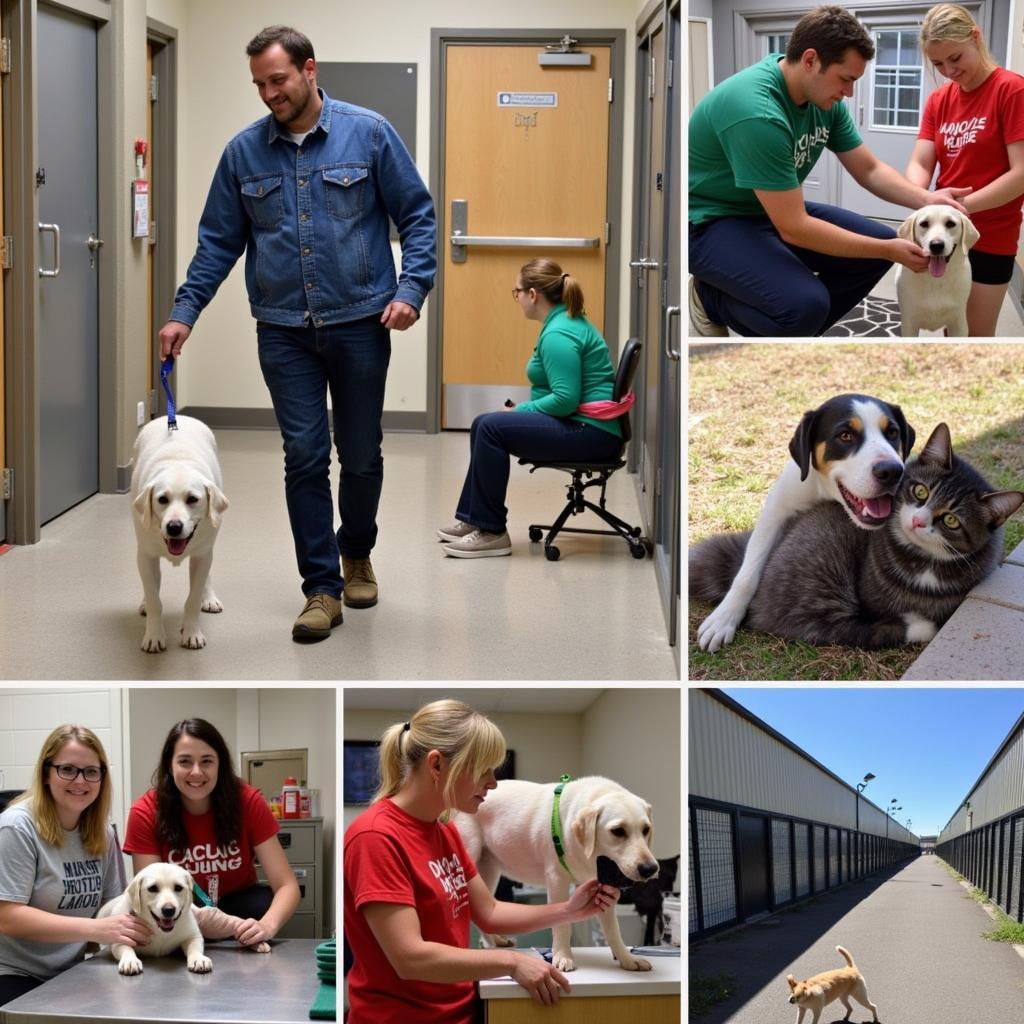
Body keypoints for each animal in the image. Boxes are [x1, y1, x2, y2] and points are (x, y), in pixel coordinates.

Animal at [131, 413, 229, 647]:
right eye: (162, 499)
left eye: (192, 499)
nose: (174, 527)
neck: (178, 463)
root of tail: (177, 415)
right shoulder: (146, 555)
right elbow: (154, 597)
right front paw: (154, 634)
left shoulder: (202, 555)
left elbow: (192, 599)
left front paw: (192, 632)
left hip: (207, 548)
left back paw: (209, 598)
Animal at [452, 778, 659, 970]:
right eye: (618, 831)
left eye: (646, 829)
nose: (651, 869)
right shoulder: (557, 880)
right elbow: (562, 924)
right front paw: (563, 956)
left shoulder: (601, 884)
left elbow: (613, 930)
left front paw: (627, 959)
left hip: (489, 870)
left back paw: (494, 942)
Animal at [688, 423, 1024, 647]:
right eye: (920, 491)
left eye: (952, 520)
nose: (918, 521)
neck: (925, 563)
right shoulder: (869, 600)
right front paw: (921, 624)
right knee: (827, 625)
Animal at [692, 391, 917, 647]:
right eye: (845, 435)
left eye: (892, 433)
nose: (892, 471)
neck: (824, 492)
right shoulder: (774, 513)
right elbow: (746, 574)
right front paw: (724, 617)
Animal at [892, 202, 978, 335]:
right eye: (924, 224)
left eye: (950, 224)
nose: (936, 245)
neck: (936, 280)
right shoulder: (909, 323)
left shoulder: (959, 323)